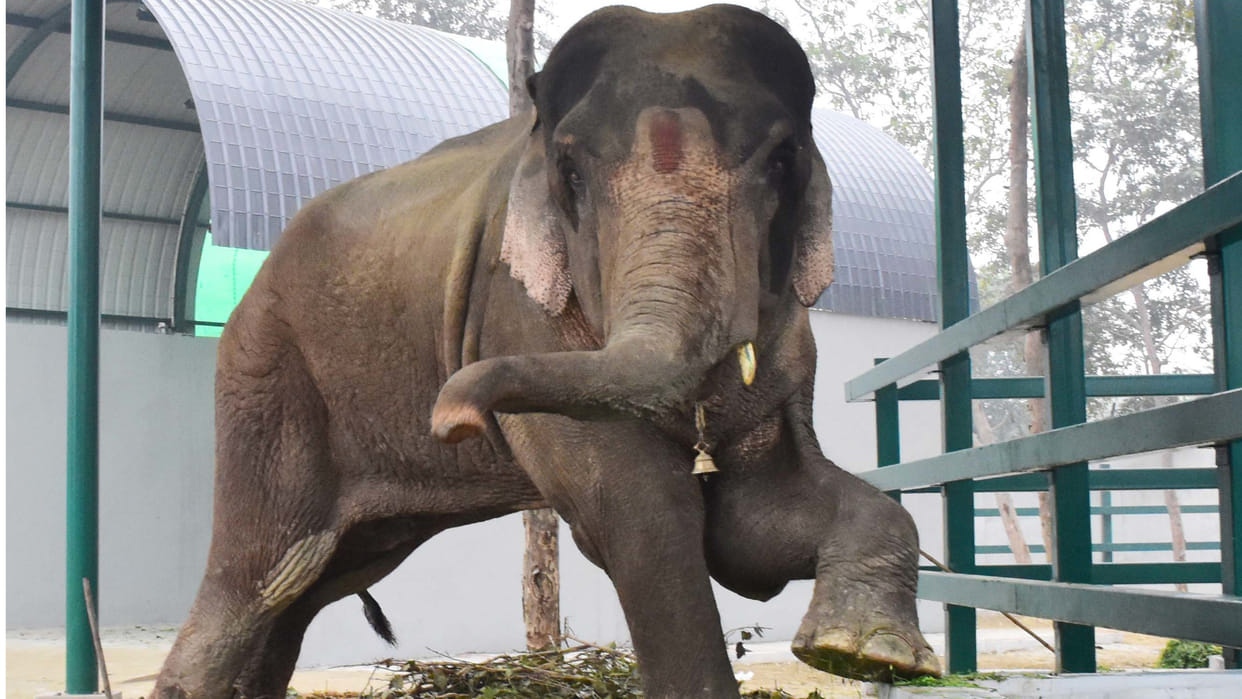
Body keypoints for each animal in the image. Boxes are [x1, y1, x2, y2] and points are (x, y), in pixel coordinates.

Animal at [152, 5, 940, 698]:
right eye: (573, 176)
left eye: (782, 162)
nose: (453, 418)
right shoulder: (518, 315)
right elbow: (645, 519)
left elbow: (754, 527)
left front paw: (865, 653)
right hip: (268, 379)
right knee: (254, 581)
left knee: (309, 591)